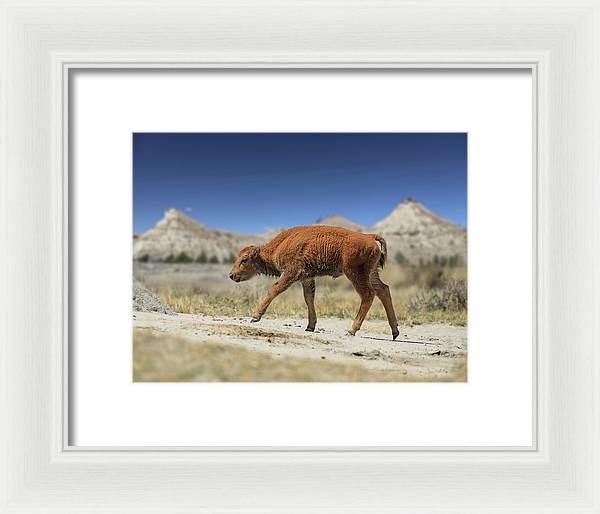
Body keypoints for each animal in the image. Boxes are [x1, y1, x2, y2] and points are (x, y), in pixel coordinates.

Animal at [229, 225, 398, 338]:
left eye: (244, 259)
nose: (231, 275)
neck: (278, 247)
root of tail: (369, 237)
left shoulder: (291, 273)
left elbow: (274, 290)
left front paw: (255, 316)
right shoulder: (307, 278)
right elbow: (309, 298)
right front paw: (310, 327)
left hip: (355, 274)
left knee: (368, 294)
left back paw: (351, 330)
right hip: (372, 274)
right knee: (383, 290)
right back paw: (395, 331)